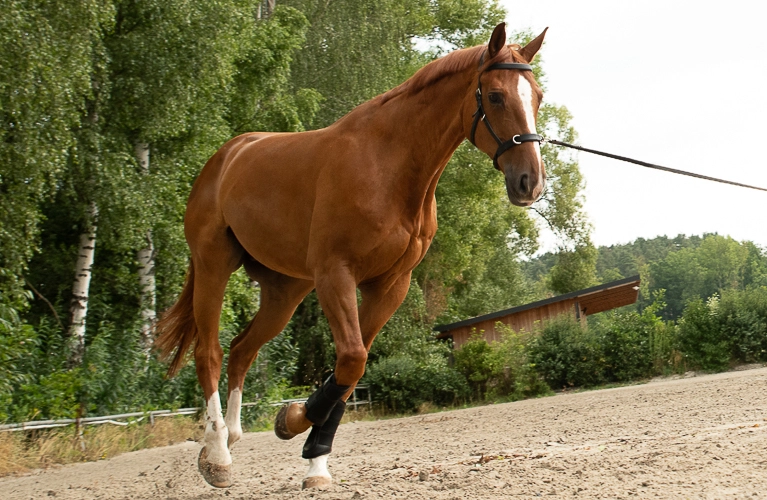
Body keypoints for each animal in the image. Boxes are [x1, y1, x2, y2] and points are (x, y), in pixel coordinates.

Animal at [155, 22, 548, 489]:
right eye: (496, 96)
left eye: (538, 96)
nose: (530, 181)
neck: (387, 165)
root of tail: (226, 156)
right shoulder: (335, 274)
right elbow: (352, 360)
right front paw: (294, 422)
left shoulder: (389, 287)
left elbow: (348, 371)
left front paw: (311, 453)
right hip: (214, 264)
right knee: (210, 352)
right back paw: (217, 455)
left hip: (284, 291)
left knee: (241, 349)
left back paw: (231, 435)